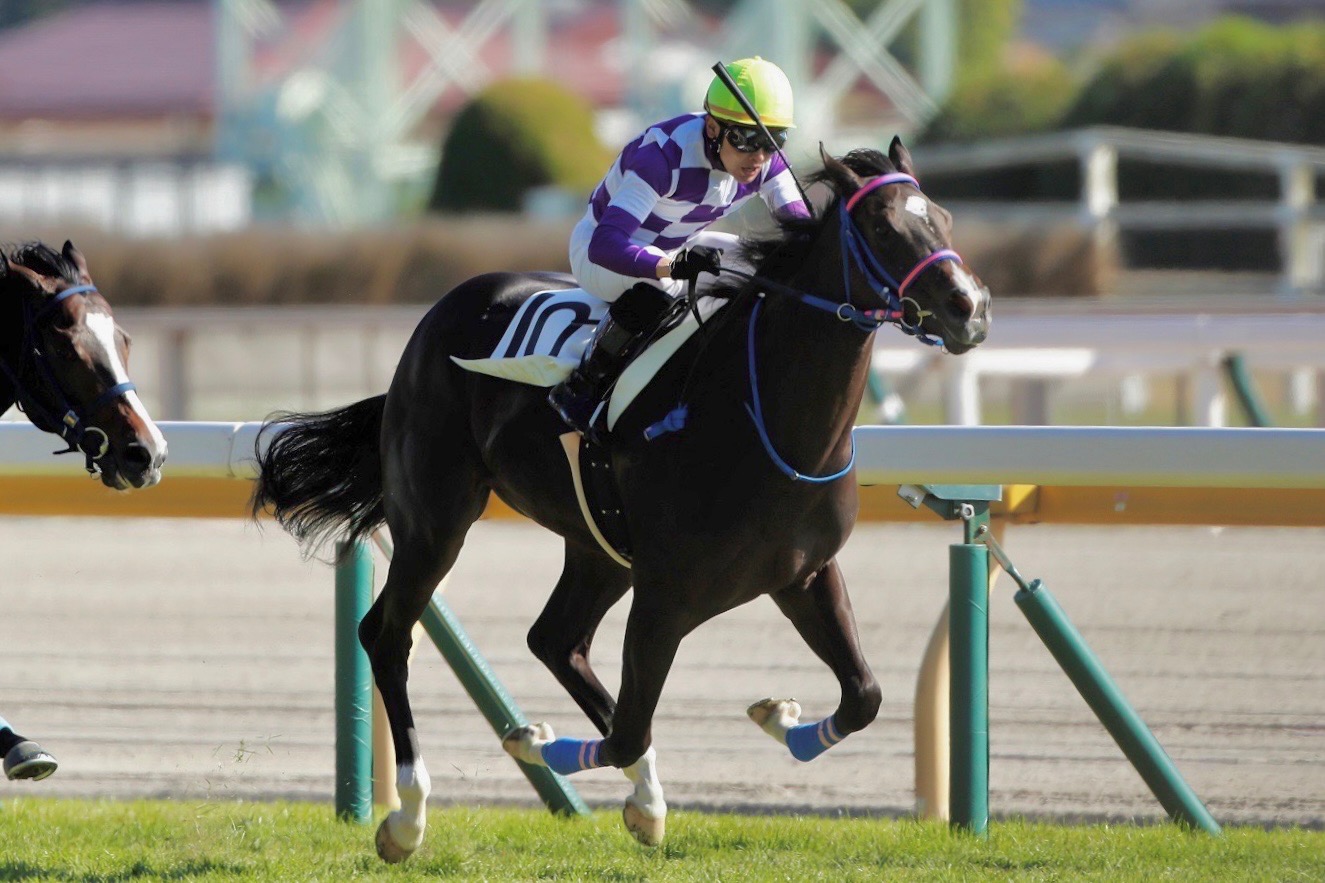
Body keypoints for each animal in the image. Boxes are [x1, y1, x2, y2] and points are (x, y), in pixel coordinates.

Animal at [251, 139, 990, 862]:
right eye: (882, 227)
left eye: (945, 219)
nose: (970, 308)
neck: (762, 417)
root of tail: (438, 315)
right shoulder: (666, 595)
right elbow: (630, 729)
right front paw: (532, 741)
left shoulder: (803, 573)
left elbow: (864, 696)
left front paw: (778, 718)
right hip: (435, 520)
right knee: (389, 633)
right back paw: (408, 817)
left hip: (597, 544)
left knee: (555, 639)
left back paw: (646, 801)